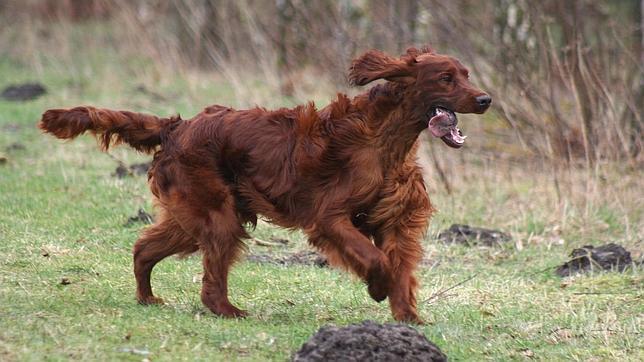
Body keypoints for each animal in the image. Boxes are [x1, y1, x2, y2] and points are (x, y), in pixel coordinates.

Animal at [40, 46, 490, 322]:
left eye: (466, 74)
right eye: (445, 78)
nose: (486, 99)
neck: (384, 140)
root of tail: (178, 125)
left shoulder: (396, 222)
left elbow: (399, 266)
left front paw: (408, 318)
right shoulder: (330, 218)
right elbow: (377, 260)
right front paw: (377, 288)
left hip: (194, 218)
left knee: (144, 248)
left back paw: (147, 298)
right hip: (217, 215)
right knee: (208, 283)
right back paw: (229, 311)